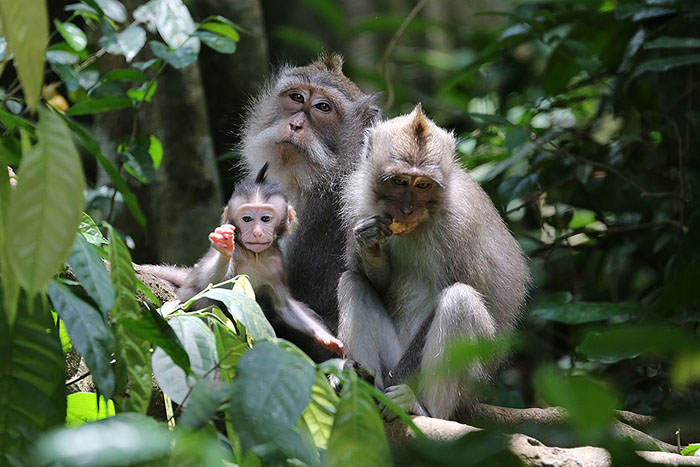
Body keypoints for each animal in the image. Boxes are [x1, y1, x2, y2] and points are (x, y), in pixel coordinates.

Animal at [145, 164, 344, 357]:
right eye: (247, 219)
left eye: (265, 219)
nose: (256, 232)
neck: (254, 256)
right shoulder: (237, 253)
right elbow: (208, 283)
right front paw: (224, 247)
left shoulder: (277, 265)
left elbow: (284, 306)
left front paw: (326, 337)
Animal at [337, 104, 529, 421]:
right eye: (400, 181)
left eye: (423, 185)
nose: (407, 209)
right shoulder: (358, 205)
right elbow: (377, 283)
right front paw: (371, 244)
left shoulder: (459, 225)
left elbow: (465, 287)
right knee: (352, 281)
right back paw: (360, 380)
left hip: (470, 381)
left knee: (460, 300)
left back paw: (422, 408)